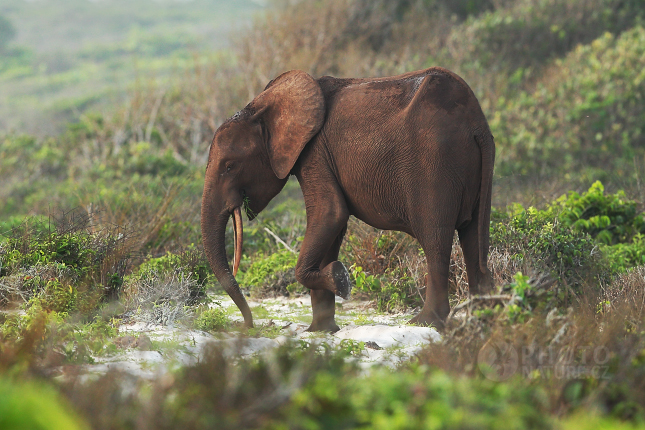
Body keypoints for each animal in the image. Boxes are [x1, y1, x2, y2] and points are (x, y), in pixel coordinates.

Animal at [200, 65, 494, 330]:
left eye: (229, 166)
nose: (248, 325)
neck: (261, 106)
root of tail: (477, 123)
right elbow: (332, 228)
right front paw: (321, 331)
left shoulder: (315, 153)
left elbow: (330, 213)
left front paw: (341, 281)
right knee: (474, 238)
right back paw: (484, 318)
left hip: (435, 164)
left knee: (435, 239)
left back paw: (425, 323)